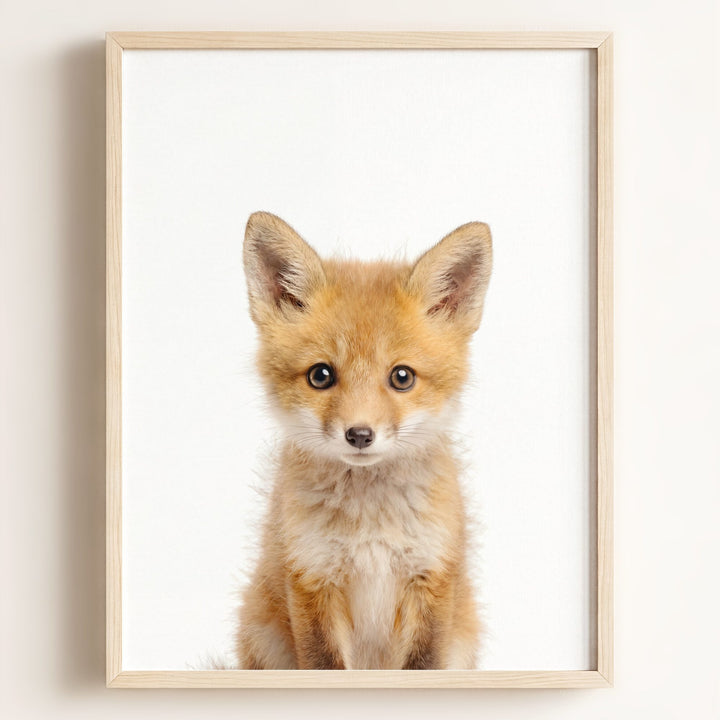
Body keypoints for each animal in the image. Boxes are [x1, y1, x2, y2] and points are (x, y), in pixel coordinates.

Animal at [237, 211, 492, 670]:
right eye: (321, 375)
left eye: (402, 377)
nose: (359, 435)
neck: (370, 526)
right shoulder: (312, 577)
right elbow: (324, 665)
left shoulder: (430, 577)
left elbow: (422, 665)